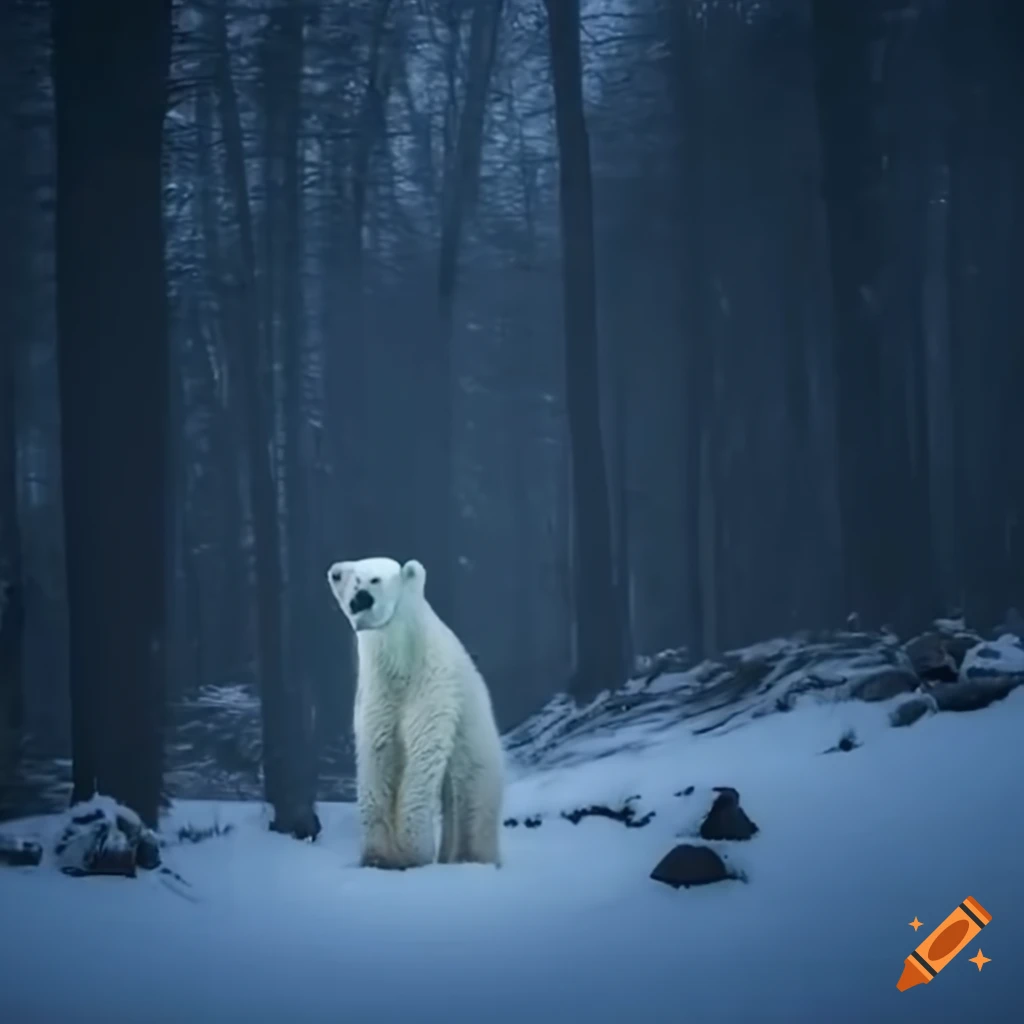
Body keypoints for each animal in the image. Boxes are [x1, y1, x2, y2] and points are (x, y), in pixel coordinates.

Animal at [327, 556, 504, 869]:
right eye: (353, 578)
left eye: (375, 579)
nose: (362, 599)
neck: (402, 659)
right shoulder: (377, 692)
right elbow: (377, 750)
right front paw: (378, 856)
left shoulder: (433, 685)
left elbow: (423, 749)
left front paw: (413, 852)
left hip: (477, 747)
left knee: (472, 799)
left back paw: (472, 858)